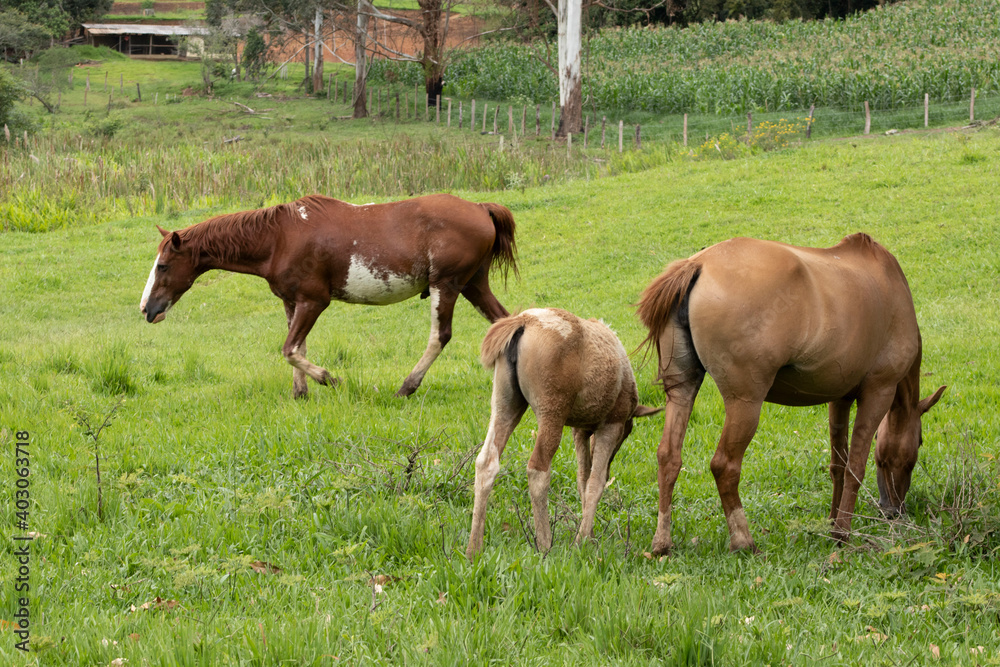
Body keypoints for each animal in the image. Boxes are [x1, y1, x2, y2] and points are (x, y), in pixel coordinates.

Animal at [140, 193, 517, 398]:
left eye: (163, 265)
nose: (146, 309)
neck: (279, 238)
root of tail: (480, 208)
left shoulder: (313, 302)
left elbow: (290, 350)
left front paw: (330, 379)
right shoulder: (292, 302)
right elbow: (298, 348)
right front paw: (300, 393)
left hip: (448, 285)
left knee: (440, 336)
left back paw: (407, 387)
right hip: (473, 284)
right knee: (503, 322)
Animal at [466, 308, 661, 559]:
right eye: (626, 434)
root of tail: (522, 322)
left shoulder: (580, 429)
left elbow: (582, 480)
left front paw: (588, 534)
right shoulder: (611, 424)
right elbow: (596, 482)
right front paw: (582, 540)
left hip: (505, 402)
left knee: (486, 462)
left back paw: (473, 548)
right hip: (552, 409)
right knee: (537, 468)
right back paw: (544, 544)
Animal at [635, 233, 945, 553]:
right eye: (920, 441)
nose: (893, 510)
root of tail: (698, 264)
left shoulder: (840, 398)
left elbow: (838, 463)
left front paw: (832, 523)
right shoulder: (878, 393)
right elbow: (855, 468)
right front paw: (842, 533)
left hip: (682, 391)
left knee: (669, 457)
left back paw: (662, 543)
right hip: (745, 404)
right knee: (724, 465)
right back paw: (743, 541)